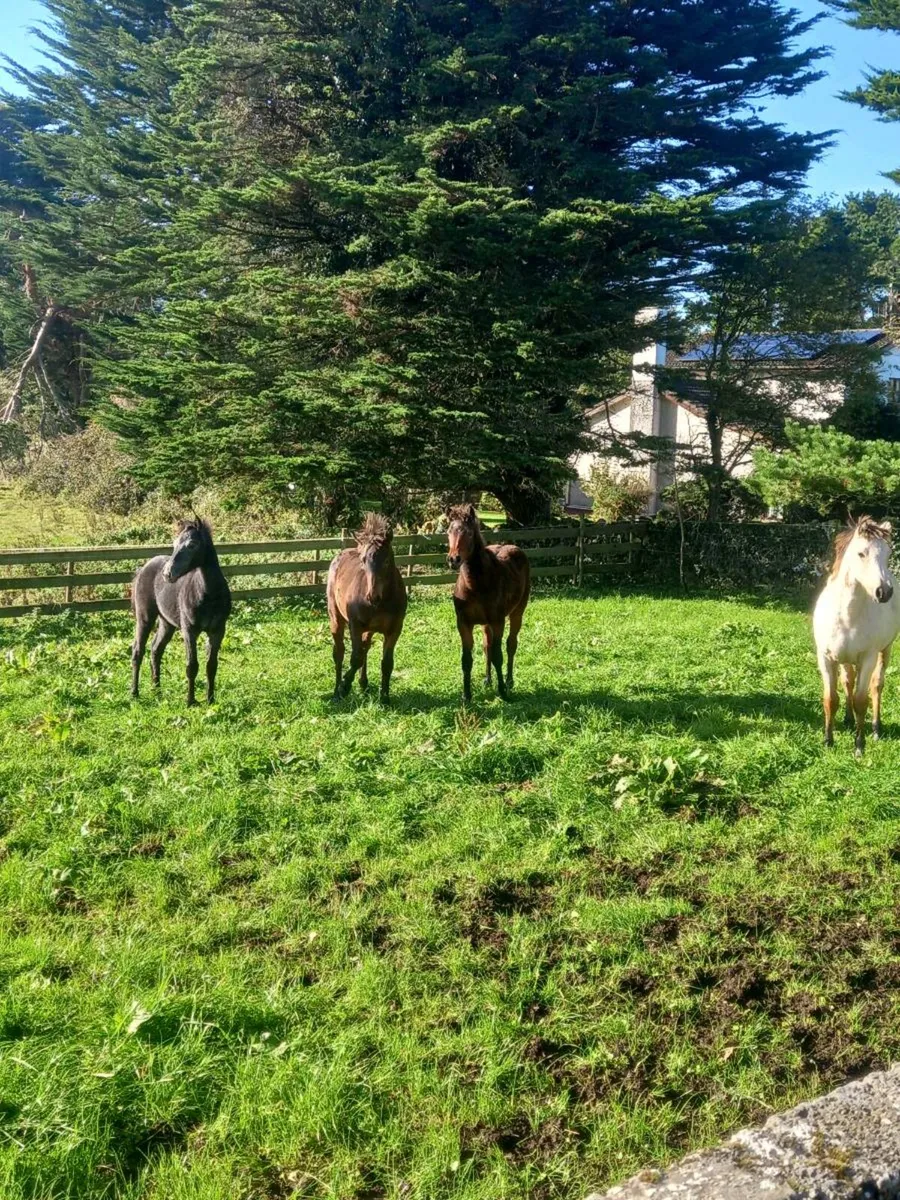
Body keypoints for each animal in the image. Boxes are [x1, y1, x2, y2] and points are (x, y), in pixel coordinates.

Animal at [131, 517, 232, 706]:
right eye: (175, 543)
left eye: (192, 544)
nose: (167, 573)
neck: (209, 594)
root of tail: (144, 567)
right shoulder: (189, 630)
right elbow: (192, 666)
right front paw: (190, 701)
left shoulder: (218, 630)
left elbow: (211, 666)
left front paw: (210, 700)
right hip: (145, 618)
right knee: (137, 651)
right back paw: (134, 693)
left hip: (166, 623)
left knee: (156, 649)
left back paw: (157, 689)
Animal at [327, 513, 407, 702]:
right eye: (363, 560)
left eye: (386, 560)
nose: (373, 596)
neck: (382, 603)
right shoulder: (355, 625)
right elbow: (355, 659)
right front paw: (344, 687)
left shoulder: (395, 629)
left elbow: (387, 663)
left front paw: (385, 698)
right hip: (336, 618)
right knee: (339, 652)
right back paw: (336, 692)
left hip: (369, 629)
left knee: (365, 647)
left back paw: (363, 684)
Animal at [446, 503, 530, 702]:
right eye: (448, 531)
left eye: (469, 533)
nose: (454, 559)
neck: (475, 585)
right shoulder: (464, 623)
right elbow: (467, 659)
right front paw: (466, 695)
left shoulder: (497, 621)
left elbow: (498, 656)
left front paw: (502, 692)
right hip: (485, 624)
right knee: (487, 647)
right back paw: (487, 679)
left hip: (517, 612)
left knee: (511, 644)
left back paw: (508, 681)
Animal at [813, 515, 900, 755]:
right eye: (862, 553)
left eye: (888, 553)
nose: (884, 592)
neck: (846, 616)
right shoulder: (826, 658)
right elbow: (830, 699)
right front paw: (828, 740)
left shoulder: (868, 658)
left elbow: (862, 701)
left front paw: (859, 747)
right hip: (845, 660)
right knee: (848, 682)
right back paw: (849, 720)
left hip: (885, 650)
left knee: (876, 685)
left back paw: (876, 729)